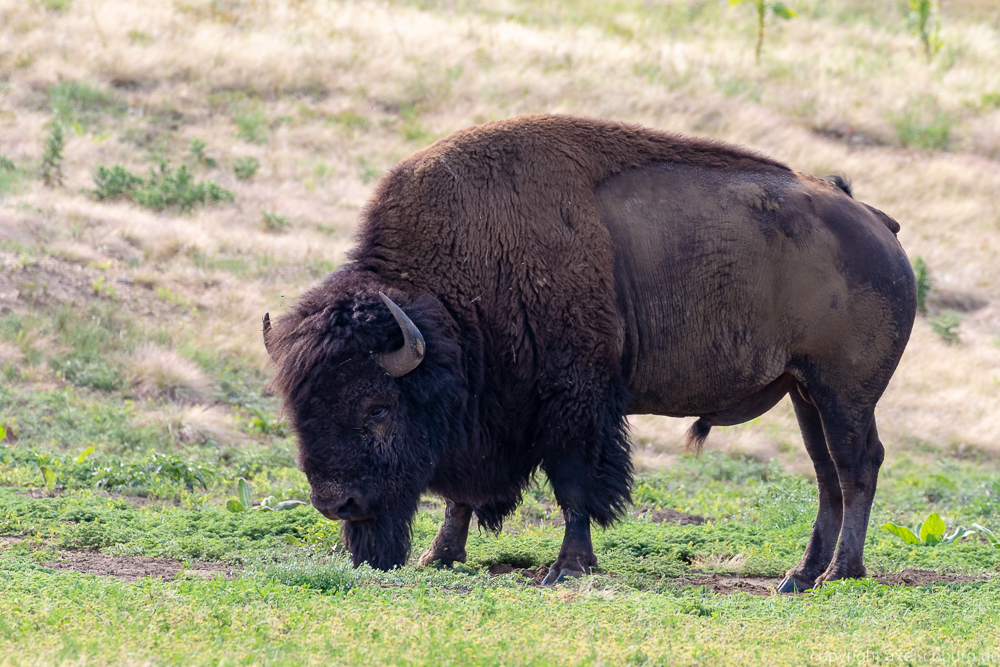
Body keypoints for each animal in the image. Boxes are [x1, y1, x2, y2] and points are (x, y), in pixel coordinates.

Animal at [263, 115, 916, 591]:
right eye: (298, 413)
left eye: (377, 408)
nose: (336, 503)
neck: (457, 293)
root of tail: (875, 223)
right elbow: (459, 497)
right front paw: (438, 557)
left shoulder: (573, 402)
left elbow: (573, 486)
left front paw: (565, 568)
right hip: (806, 392)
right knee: (827, 474)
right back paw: (799, 576)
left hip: (843, 392)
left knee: (856, 466)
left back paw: (839, 574)